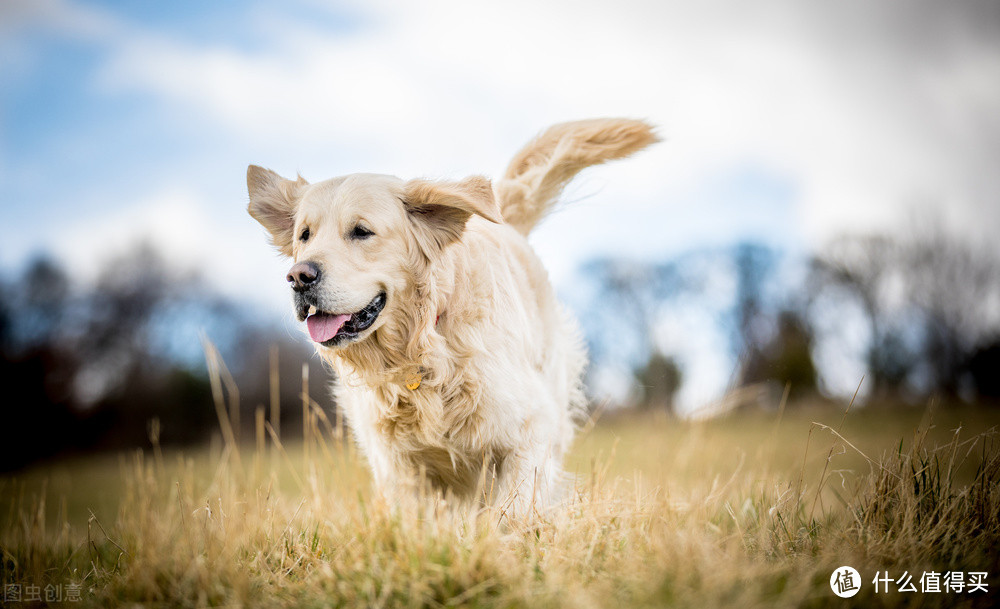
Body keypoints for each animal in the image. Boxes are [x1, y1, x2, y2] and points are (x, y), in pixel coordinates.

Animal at [248, 119, 656, 512]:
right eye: (305, 235)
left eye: (361, 231)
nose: (299, 277)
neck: (423, 345)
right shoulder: (398, 468)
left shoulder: (530, 429)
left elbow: (513, 511)